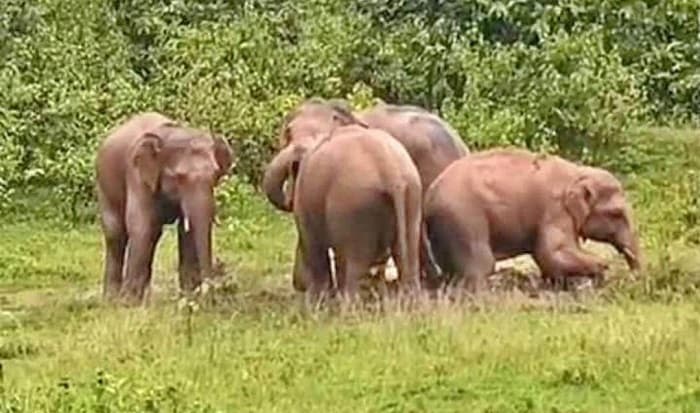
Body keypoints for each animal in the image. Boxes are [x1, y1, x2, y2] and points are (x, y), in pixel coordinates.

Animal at [95, 112, 234, 304]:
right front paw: (129, 303)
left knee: (153, 236)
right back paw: (112, 299)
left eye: (215, 175)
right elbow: (142, 227)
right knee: (116, 234)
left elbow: (187, 232)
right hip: (104, 186)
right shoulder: (137, 175)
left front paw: (189, 299)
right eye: (179, 177)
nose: (211, 296)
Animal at [262, 124, 423, 300]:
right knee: (407, 255)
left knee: (355, 262)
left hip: (354, 207)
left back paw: (348, 303)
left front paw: (317, 299)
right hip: (411, 198)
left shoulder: (305, 199)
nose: (297, 285)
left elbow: (312, 243)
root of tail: (391, 174)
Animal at [423, 148, 641, 292]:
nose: (634, 279)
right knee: (481, 265)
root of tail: (430, 195)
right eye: (616, 214)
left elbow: (548, 257)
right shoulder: (556, 211)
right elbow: (552, 253)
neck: (578, 173)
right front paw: (602, 269)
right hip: (465, 219)